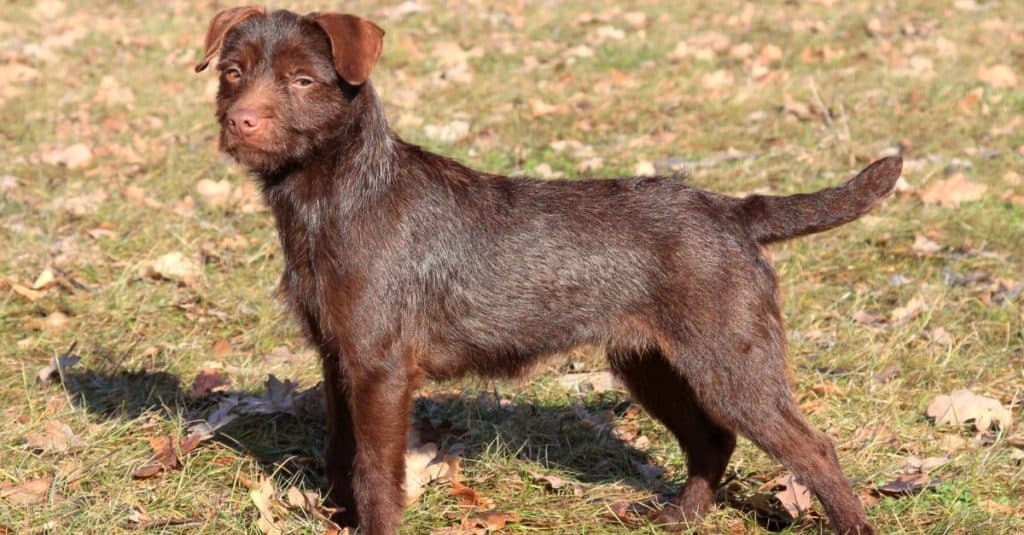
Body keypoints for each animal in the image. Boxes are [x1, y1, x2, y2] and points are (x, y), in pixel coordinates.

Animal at [195, 6, 901, 528]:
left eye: (303, 80)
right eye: (232, 71)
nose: (241, 120)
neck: (336, 195)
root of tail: (732, 209)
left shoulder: (379, 368)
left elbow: (374, 471)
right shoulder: (337, 357)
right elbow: (340, 453)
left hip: (732, 364)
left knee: (812, 448)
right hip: (651, 364)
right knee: (712, 442)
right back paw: (677, 517)